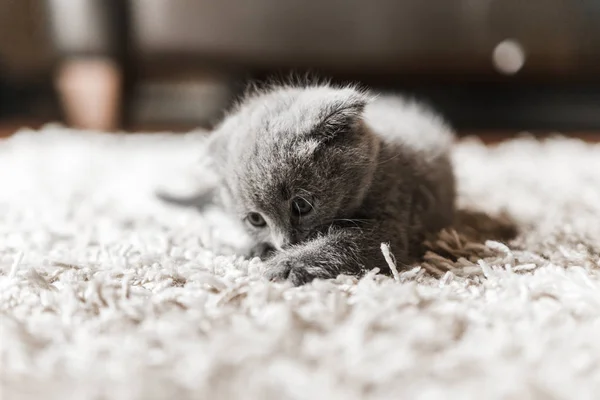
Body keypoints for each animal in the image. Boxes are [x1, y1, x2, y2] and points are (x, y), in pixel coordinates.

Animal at [159, 81, 454, 284]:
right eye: (256, 220)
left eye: (301, 206)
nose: (286, 243)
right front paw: (257, 249)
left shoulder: (390, 226)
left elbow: (343, 241)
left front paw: (289, 264)